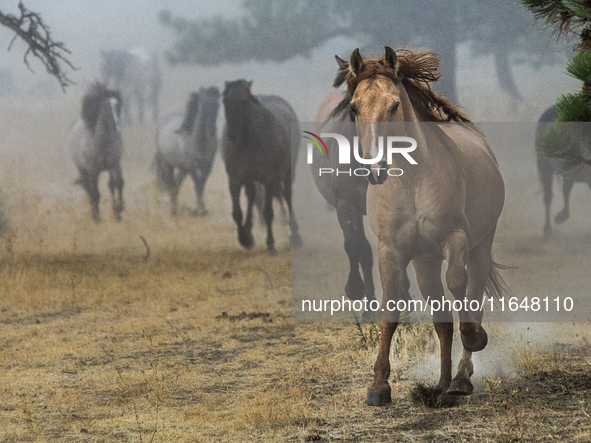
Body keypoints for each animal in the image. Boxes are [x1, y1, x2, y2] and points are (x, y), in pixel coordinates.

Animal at [69, 82, 124, 224]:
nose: (118, 129)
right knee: (89, 189)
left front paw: (118, 211)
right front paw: (97, 218)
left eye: (117, 105)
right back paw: (94, 214)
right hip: (83, 170)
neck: (102, 143)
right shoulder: (93, 170)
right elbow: (96, 193)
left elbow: (117, 184)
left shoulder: (114, 165)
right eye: (105, 106)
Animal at [156, 87, 221, 217]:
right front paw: (199, 209)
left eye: (217, 104)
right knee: (171, 184)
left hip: (183, 168)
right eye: (203, 105)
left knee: (177, 184)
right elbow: (197, 183)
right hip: (167, 164)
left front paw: (202, 208)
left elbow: (202, 183)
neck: (200, 142)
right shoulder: (192, 166)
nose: (212, 130)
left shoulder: (207, 165)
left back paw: (175, 207)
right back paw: (173, 210)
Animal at [223, 79, 302, 253]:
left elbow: (268, 211)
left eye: (245, 102)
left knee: (287, 194)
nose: (232, 135)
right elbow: (237, 212)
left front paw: (270, 244)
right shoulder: (235, 178)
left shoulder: (269, 179)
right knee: (252, 196)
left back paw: (295, 237)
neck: (248, 141)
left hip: (288, 171)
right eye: (224, 101)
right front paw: (245, 238)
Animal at [346, 47, 508, 406]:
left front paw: (475, 339)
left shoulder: (455, 239)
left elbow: (459, 286)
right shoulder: (392, 251)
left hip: (480, 246)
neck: (411, 181)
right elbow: (390, 309)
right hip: (425, 263)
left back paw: (460, 378)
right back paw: (443, 384)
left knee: (472, 298)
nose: (376, 168)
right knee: (442, 320)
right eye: (353, 107)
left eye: (394, 105)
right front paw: (379, 385)